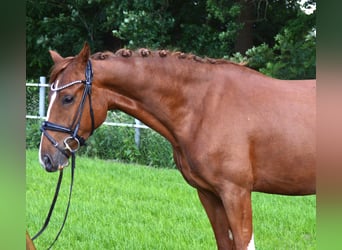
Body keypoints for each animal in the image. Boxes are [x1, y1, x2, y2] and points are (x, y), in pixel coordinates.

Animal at [38, 42, 316, 249]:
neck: (204, 106)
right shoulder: (209, 194)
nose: (46, 157)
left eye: (67, 98)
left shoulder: (236, 193)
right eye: (49, 95)